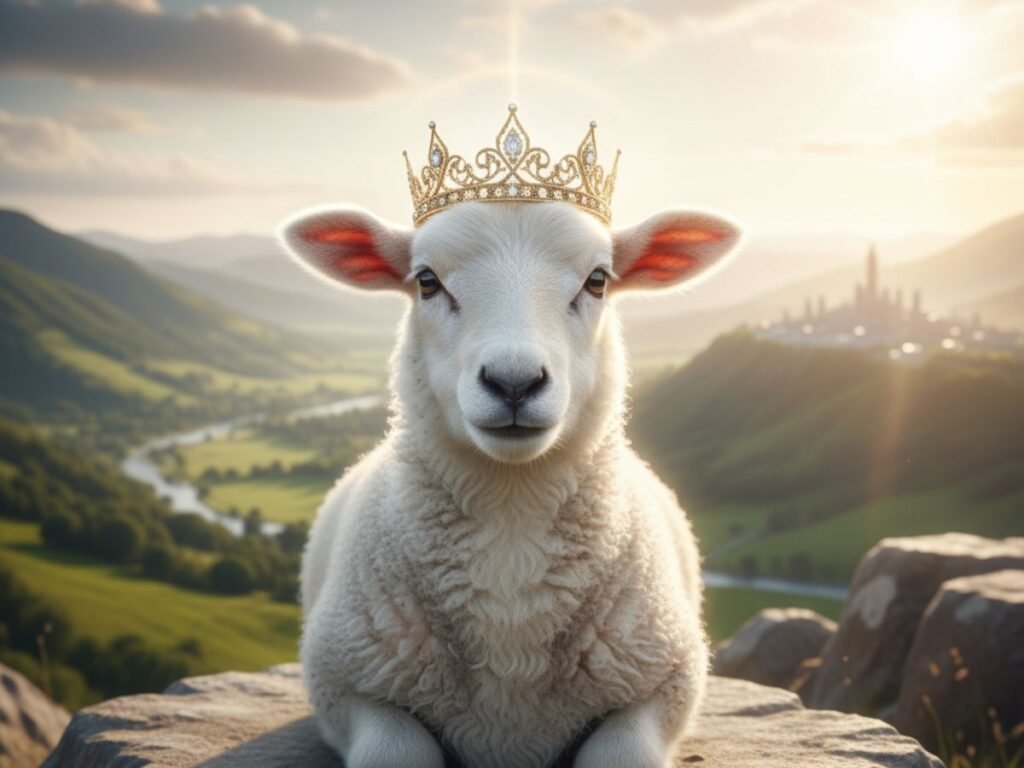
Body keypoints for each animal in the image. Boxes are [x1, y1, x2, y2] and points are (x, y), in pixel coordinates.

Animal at [279, 200, 741, 768]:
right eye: (427, 281)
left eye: (597, 280)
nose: (513, 381)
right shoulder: (344, 682)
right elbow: (397, 749)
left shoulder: (666, 682)